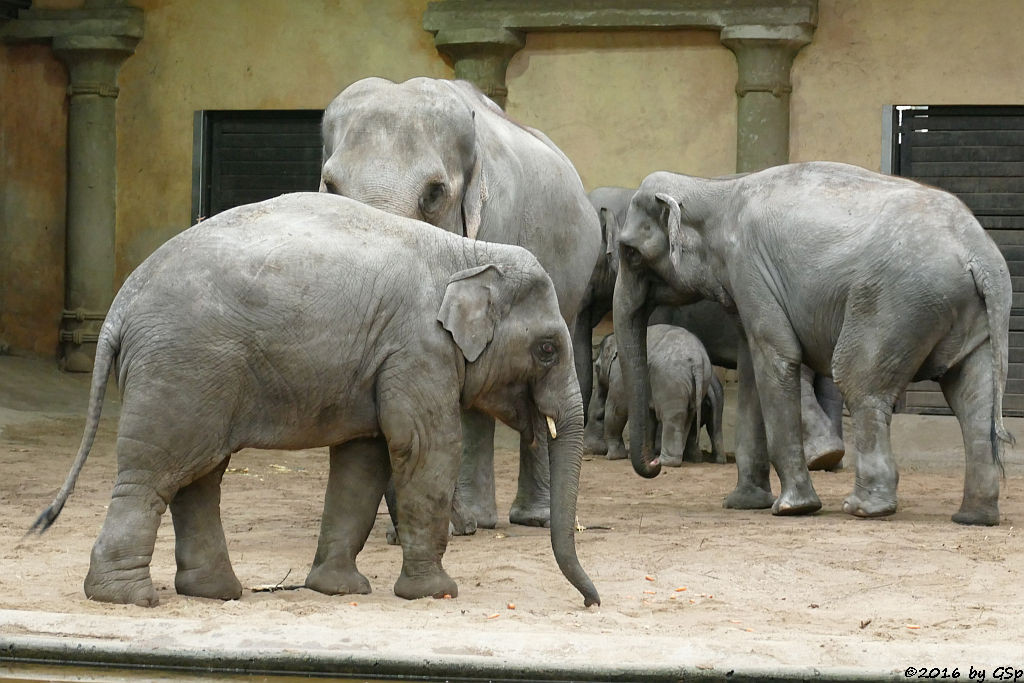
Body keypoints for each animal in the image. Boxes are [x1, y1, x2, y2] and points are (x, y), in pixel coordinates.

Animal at [29, 191, 598, 610]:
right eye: (547, 349)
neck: (465, 254)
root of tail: (119, 306)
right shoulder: (417, 349)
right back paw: (128, 598)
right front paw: (436, 593)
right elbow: (423, 449)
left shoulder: (383, 359)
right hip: (181, 368)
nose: (592, 602)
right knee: (156, 474)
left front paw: (338, 590)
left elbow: (363, 460)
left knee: (199, 476)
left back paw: (215, 593)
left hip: (199, 377)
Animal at [585, 325, 729, 464]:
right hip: (698, 382)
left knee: (672, 417)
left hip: (671, 380)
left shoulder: (619, 373)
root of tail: (697, 361)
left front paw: (614, 457)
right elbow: (647, 415)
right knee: (690, 417)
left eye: (596, 368)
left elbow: (616, 408)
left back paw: (666, 461)